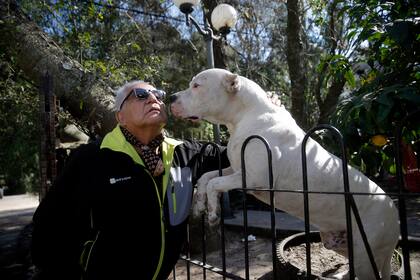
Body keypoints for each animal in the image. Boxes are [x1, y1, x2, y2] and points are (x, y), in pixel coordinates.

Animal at [171, 68, 400, 280]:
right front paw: (199, 205)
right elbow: (206, 177)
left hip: (366, 253)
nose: (171, 97)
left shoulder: (253, 178)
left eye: (197, 86)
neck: (246, 115)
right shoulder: (235, 170)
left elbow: (215, 182)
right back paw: (340, 275)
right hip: (339, 242)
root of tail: (394, 211)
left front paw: (212, 213)